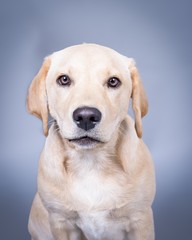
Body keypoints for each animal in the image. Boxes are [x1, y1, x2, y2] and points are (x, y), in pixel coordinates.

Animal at [27, 43, 156, 240]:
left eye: (113, 81)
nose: (86, 117)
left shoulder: (140, 220)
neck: (90, 163)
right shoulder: (60, 222)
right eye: (64, 79)